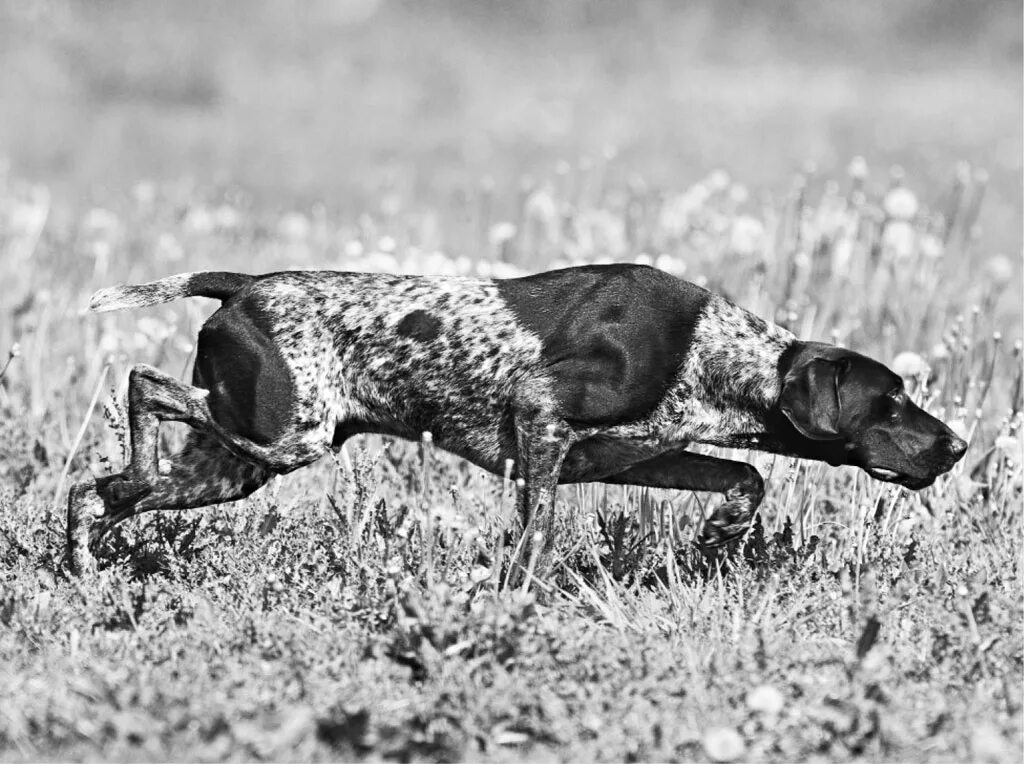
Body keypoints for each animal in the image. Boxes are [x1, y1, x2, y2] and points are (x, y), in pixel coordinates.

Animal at [66, 264, 966, 573]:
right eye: (889, 402)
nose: (957, 446)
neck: (710, 350)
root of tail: (243, 285)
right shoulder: (541, 419)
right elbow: (536, 535)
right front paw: (514, 598)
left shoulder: (630, 456)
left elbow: (745, 475)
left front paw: (720, 536)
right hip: (286, 433)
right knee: (141, 384)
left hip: (238, 461)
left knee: (96, 492)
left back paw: (85, 551)